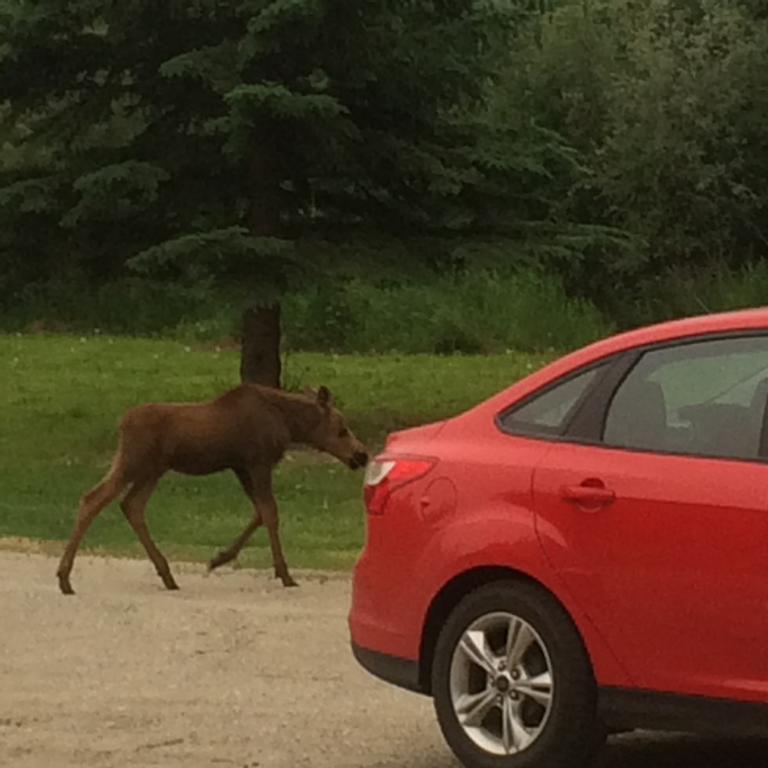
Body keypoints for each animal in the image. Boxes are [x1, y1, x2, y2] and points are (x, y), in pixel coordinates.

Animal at [55, 384, 368, 592]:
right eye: (341, 428)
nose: (362, 455)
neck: (291, 427)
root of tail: (121, 424)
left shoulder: (241, 466)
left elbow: (259, 512)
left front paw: (219, 558)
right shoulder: (257, 462)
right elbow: (270, 513)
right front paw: (285, 573)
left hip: (153, 468)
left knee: (131, 505)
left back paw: (166, 574)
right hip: (135, 461)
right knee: (94, 499)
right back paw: (65, 577)